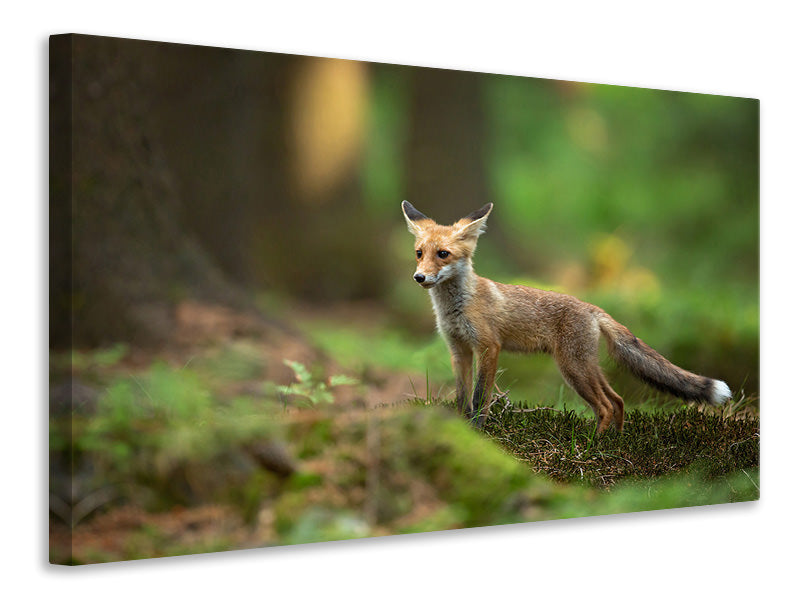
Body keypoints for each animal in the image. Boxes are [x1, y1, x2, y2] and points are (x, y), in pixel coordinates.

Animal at [400, 200, 732, 432]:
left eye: (443, 254)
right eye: (419, 253)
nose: (419, 277)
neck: (455, 308)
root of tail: (592, 308)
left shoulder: (488, 347)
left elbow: (480, 397)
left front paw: (478, 432)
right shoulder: (459, 350)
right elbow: (462, 398)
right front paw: (461, 429)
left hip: (572, 368)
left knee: (606, 405)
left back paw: (594, 447)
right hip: (585, 366)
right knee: (618, 400)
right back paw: (617, 441)